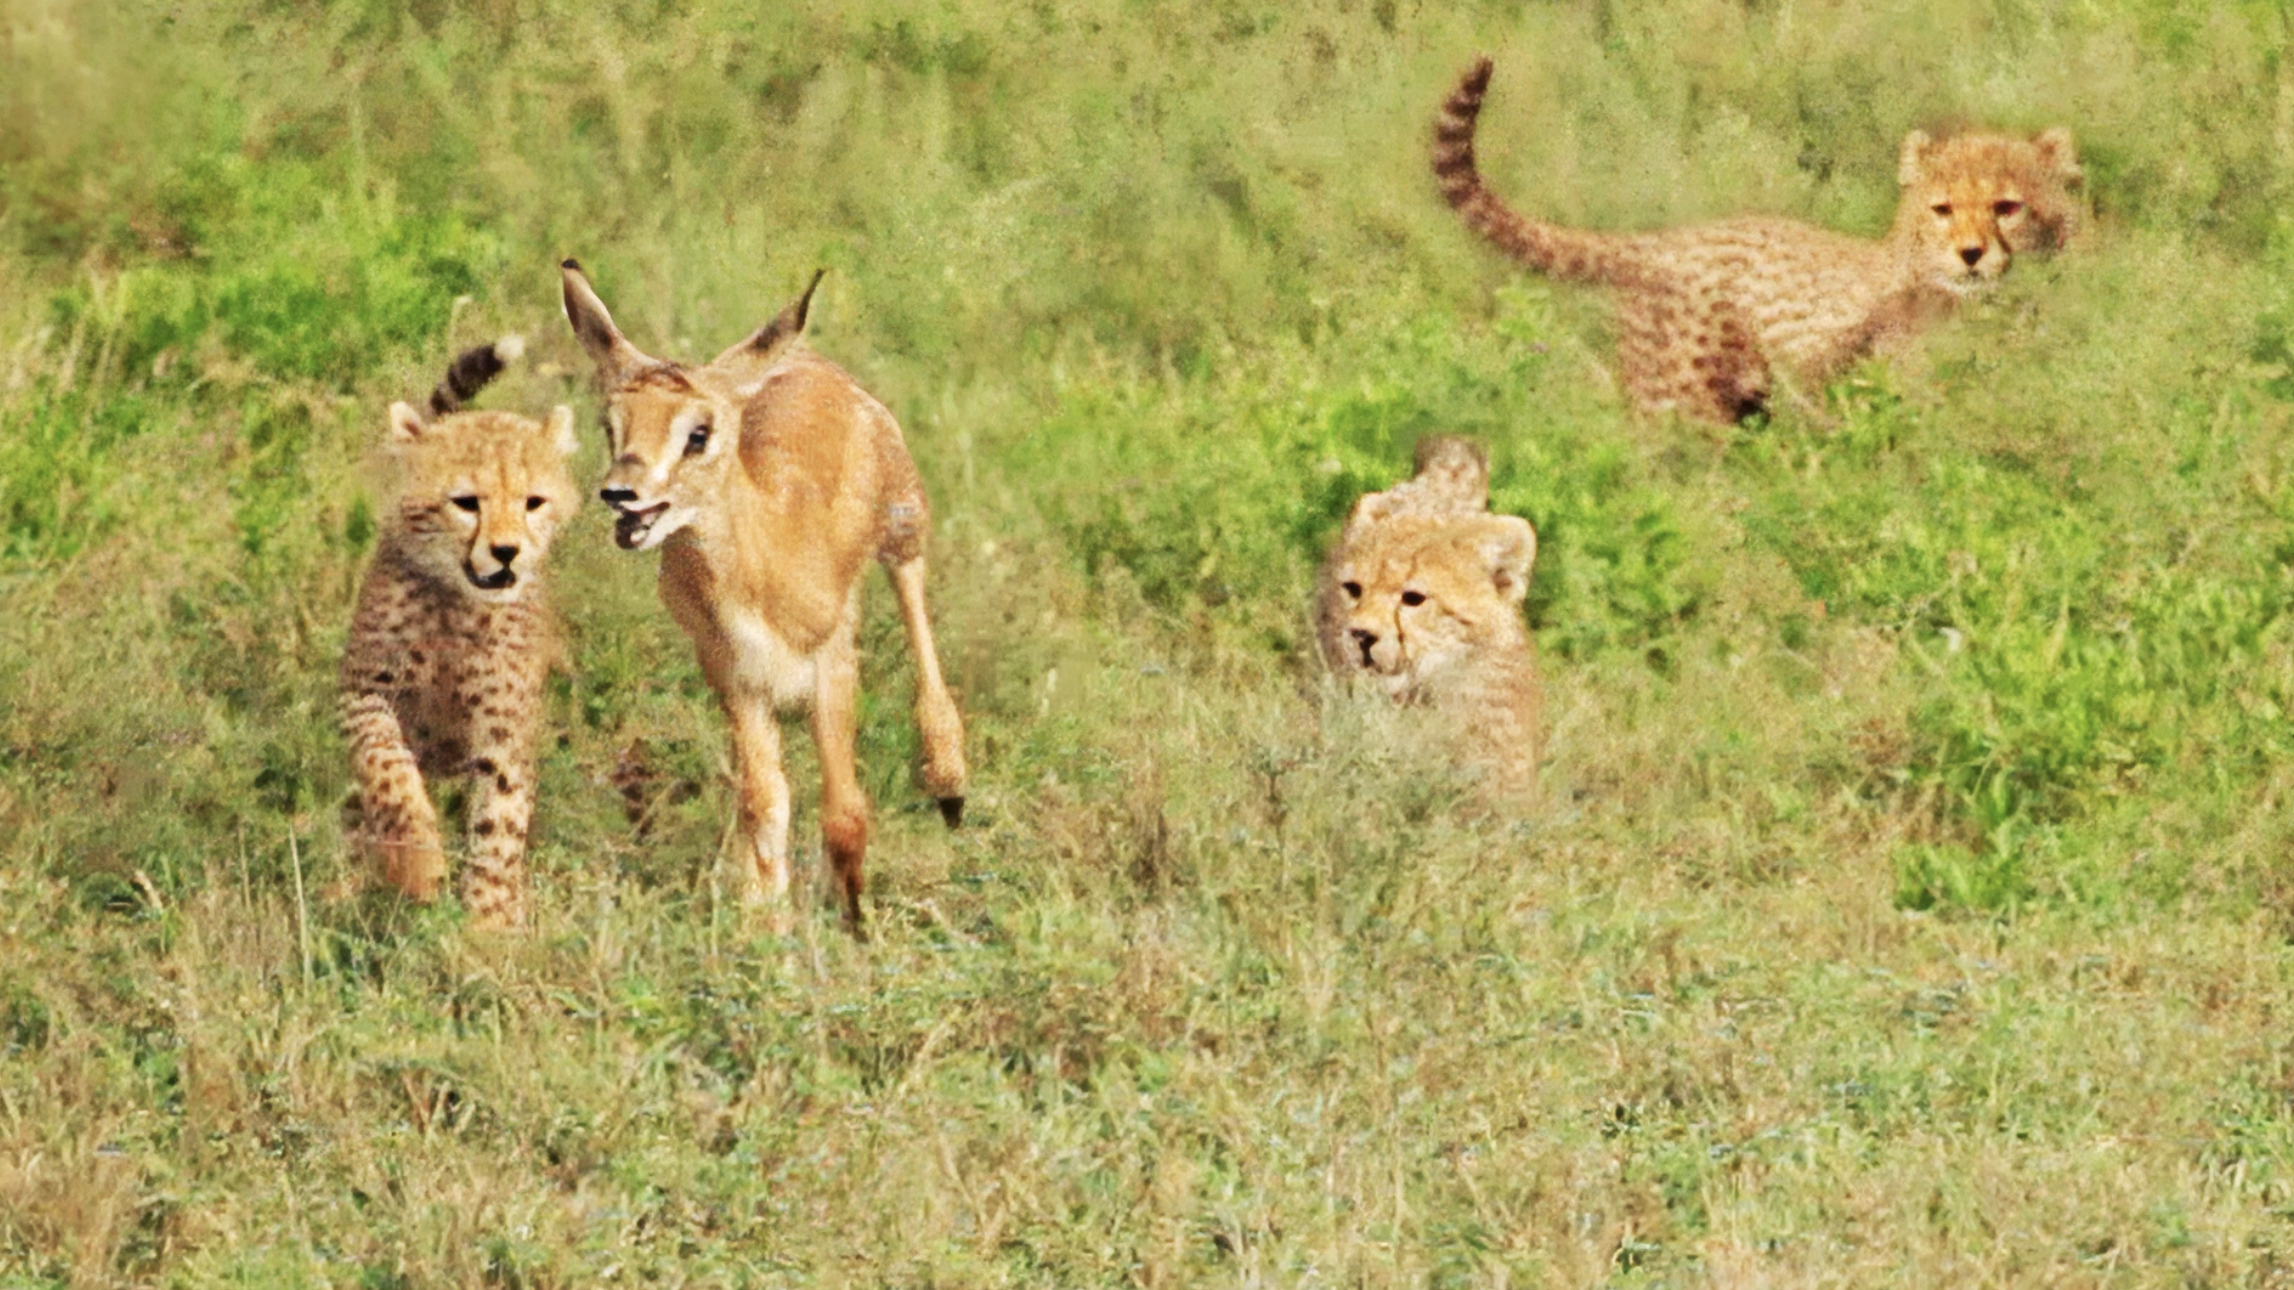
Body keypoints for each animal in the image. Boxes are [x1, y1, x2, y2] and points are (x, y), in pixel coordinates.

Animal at [338, 337, 581, 930]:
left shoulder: (503, 731)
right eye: (466, 502)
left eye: (533, 502)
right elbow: (388, 769)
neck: (457, 601)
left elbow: (500, 825)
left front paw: (488, 925)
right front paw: (416, 864)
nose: (506, 552)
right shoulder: (365, 691)